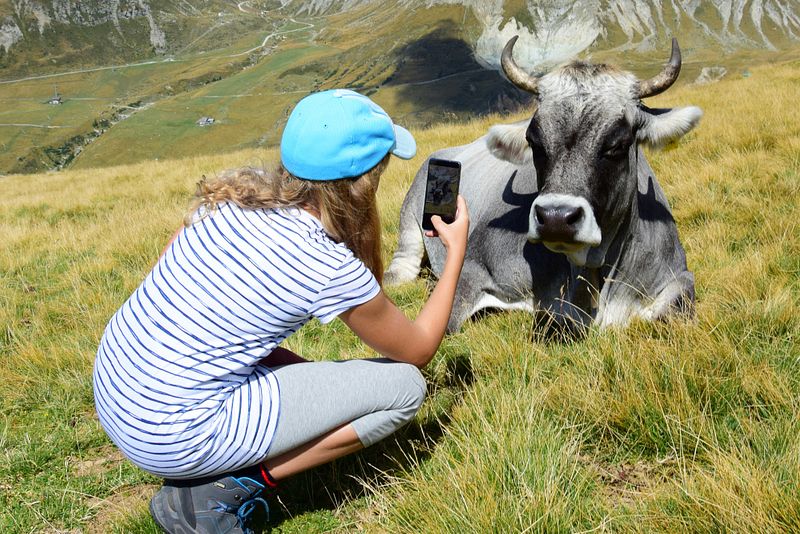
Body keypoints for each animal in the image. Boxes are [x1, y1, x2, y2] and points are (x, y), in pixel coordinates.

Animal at [385, 37, 702, 335]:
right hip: (410, 219)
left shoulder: (678, 274)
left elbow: (675, 307)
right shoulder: (471, 266)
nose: (556, 219)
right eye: (534, 141)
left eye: (619, 144)